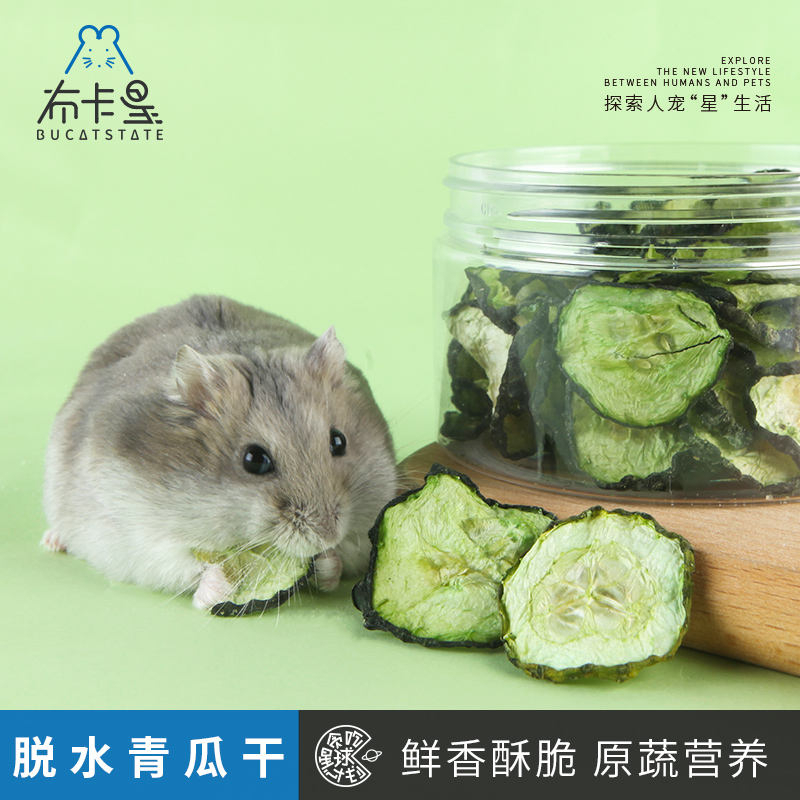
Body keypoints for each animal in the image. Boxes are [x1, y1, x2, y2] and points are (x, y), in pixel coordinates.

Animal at [42, 295, 398, 609]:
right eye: (254, 460)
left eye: (339, 442)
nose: (327, 535)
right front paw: (216, 588)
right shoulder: (140, 535)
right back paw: (51, 542)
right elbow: (187, 564)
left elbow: (344, 557)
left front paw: (327, 561)